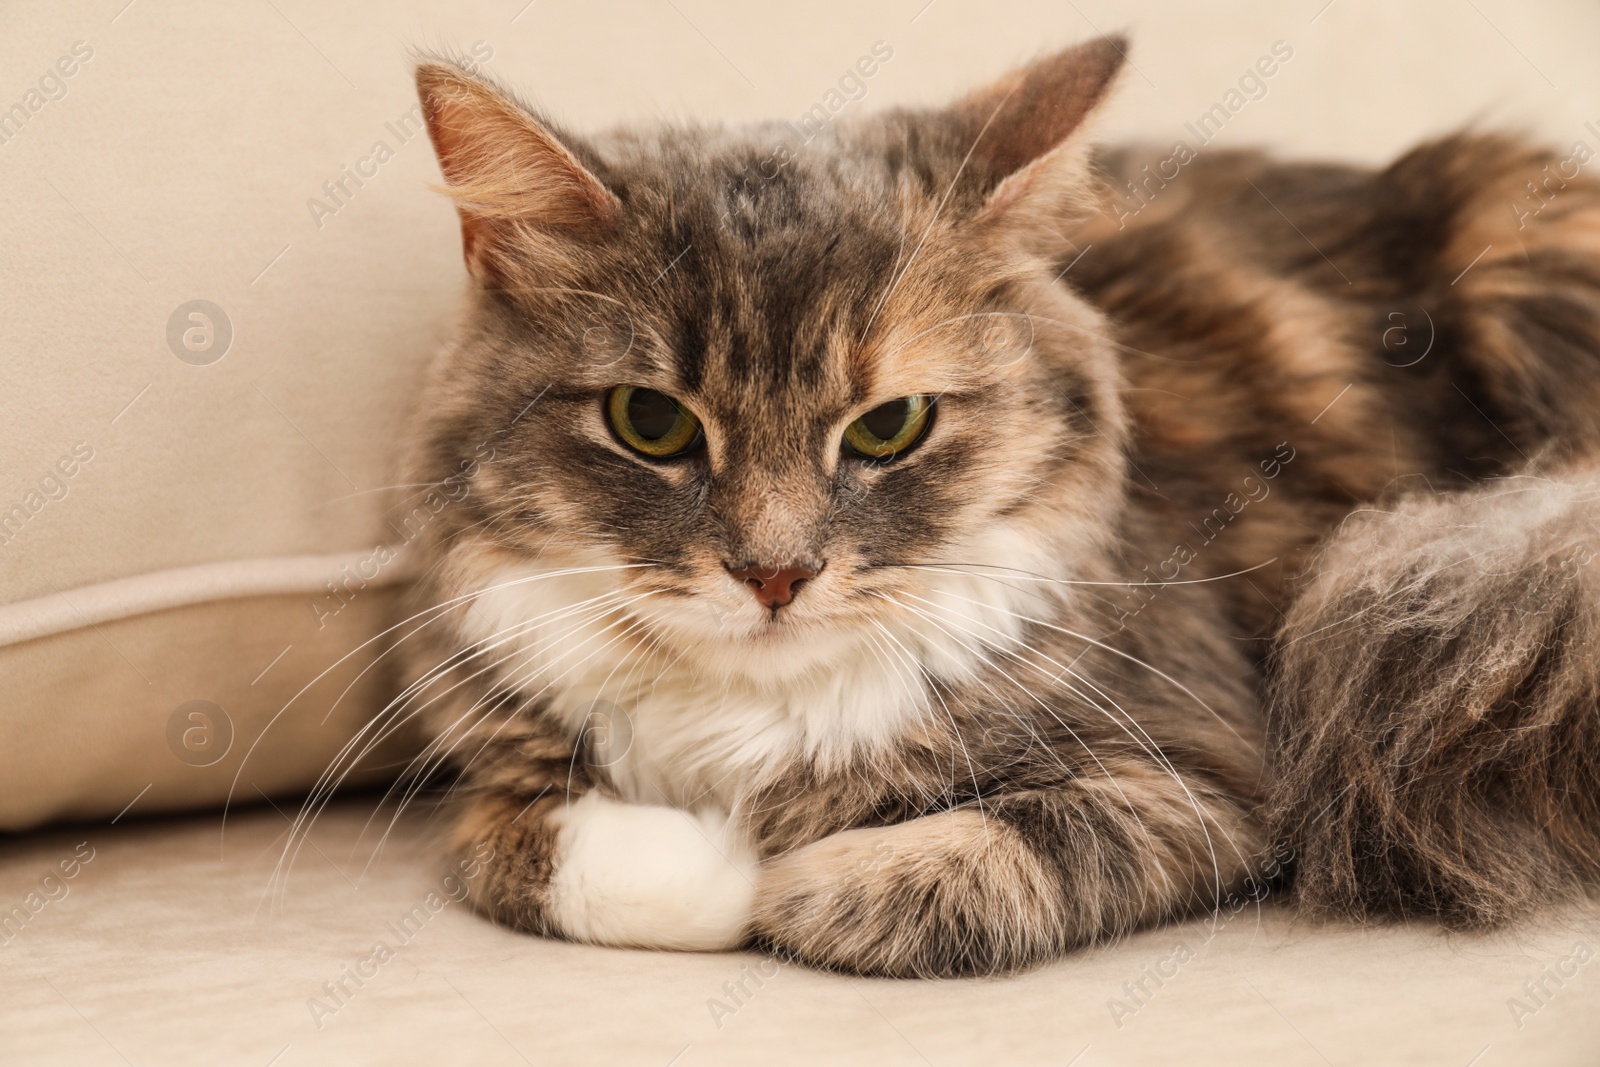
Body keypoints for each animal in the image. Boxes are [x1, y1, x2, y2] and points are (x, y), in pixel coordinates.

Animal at [384, 39, 1600, 979]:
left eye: (890, 426)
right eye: (649, 422)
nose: (776, 574)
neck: (749, 718)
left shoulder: (1202, 771)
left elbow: (975, 858)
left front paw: (790, 868)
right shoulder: (494, 772)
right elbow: (536, 852)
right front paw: (732, 858)